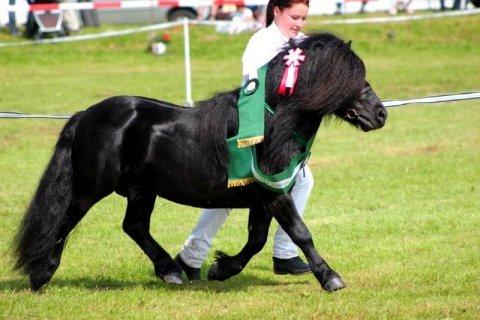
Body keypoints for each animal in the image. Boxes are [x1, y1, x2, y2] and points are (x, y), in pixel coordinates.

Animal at [13, 33, 386, 292]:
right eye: (353, 77)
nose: (380, 114)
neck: (272, 125)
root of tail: (86, 115)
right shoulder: (274, 195)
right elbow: (300, 233)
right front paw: (330, 277)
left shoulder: (263, 197)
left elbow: (257, 240)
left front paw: (222, 269)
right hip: (90, 188)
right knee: (64, 222)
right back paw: (40, 274)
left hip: (141, 190)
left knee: (134, 226)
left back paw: (172, 271)